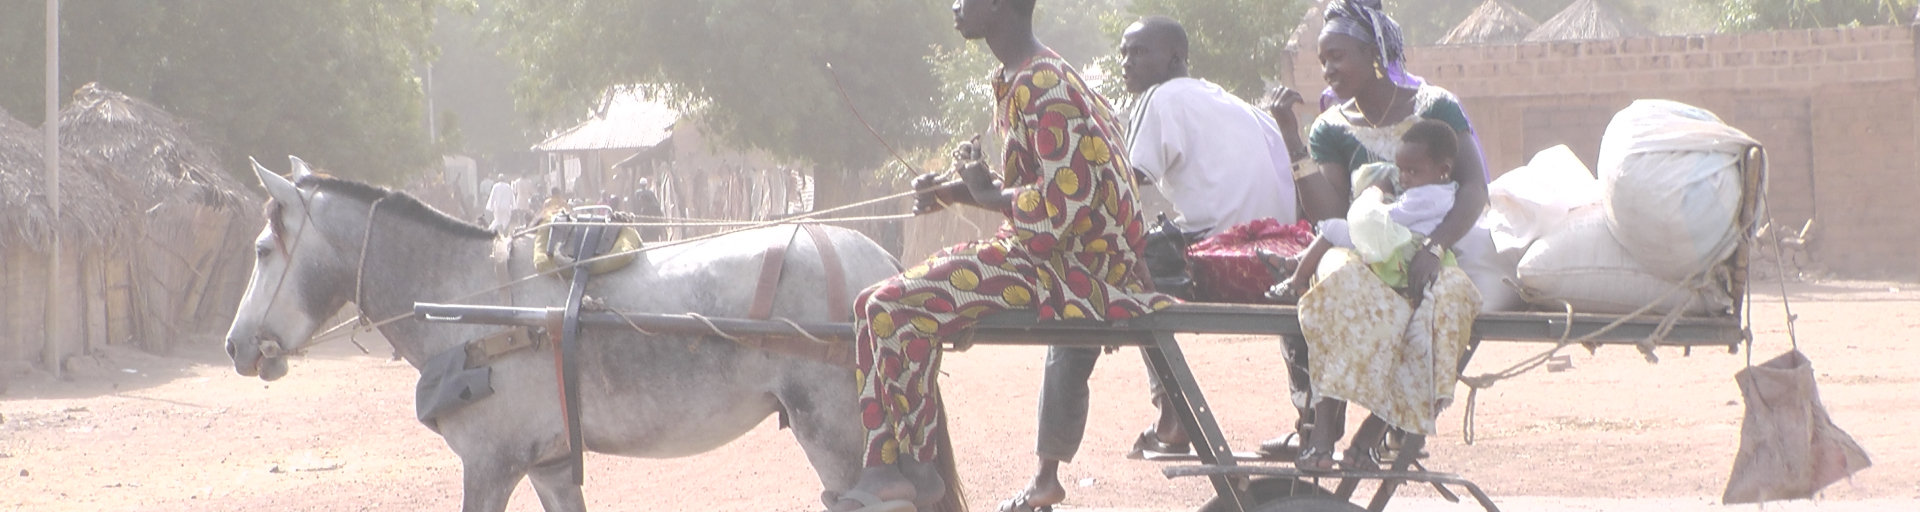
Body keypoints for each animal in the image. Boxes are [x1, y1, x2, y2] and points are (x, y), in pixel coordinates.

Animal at [224, 157, 967, 512]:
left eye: (261, 250)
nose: (235, 345)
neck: (473, 300)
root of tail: (880, 265)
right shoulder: (551, 466)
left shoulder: (491, 463)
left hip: (840, 438)